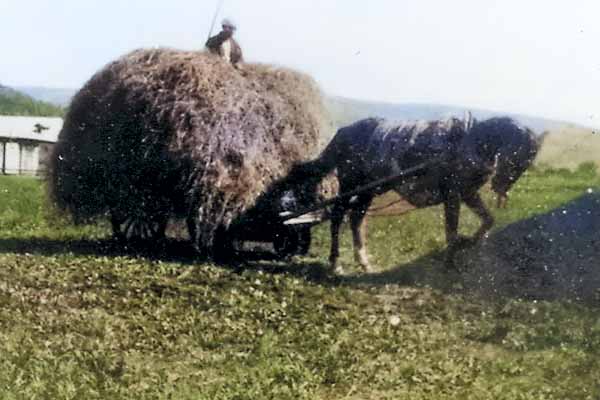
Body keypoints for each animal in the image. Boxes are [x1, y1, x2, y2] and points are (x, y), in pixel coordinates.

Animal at [290, 115, 540, 272]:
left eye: (527, 163)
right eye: (517, 156)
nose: (500, 187)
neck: (467, 145)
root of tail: (345, 132)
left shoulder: (468, 193)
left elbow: (488, 220)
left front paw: (469, 242)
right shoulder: (453, 195)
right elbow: (451, 230)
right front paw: (450, 262)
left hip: (369, 189)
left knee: (356, 219)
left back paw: (363, 261)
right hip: (351, 184)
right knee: (337, 217)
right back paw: (335, 262)